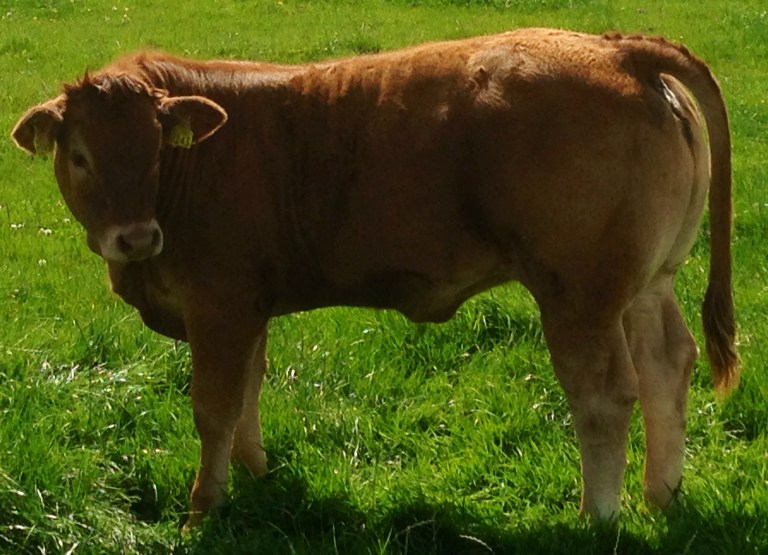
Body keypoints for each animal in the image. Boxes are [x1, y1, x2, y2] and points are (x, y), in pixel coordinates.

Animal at [12, 28, 738, 527]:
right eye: (80, 156)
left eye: (155, 150)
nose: (136, 236)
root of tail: (616, 49)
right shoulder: (249, 307)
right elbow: (248, 393)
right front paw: (256, 479)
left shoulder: (219, 307)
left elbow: (214, 409)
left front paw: (202, 510)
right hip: (646, 285)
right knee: (667, 366)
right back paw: (660, 496)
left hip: (578, 295)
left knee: (606, 394)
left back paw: (597, 516)